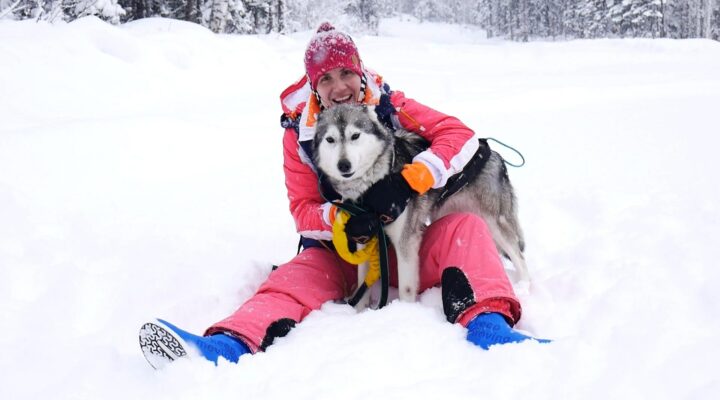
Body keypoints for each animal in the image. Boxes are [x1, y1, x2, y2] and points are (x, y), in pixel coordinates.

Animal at [316, 104, 528, 306]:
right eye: (330, 140)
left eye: (355, 135)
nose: (343, 165)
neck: (372, 187)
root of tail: (493, 153)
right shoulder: (363, 237)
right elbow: (362, 287)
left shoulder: (405, 241)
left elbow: (406, 289)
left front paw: (404, 311)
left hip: (495, 222)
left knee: (519, 257)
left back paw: (526, 286)